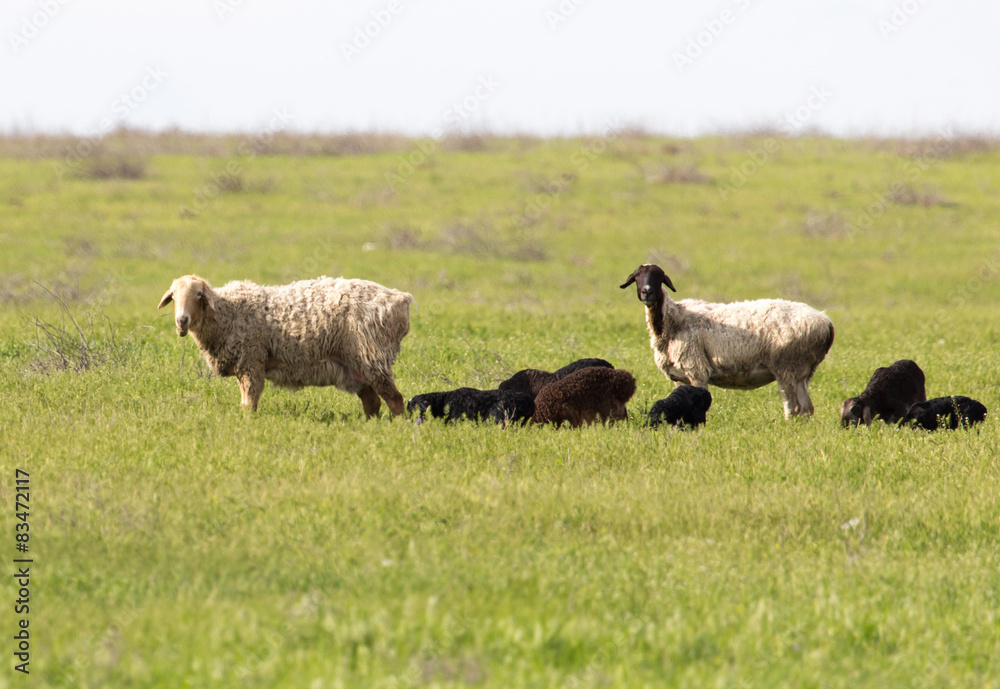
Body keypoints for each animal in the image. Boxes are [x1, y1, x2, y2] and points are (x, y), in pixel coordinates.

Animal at [157, 274, 413, 417]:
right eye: (173, 296)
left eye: (198, 294)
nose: (182, 321)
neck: (227, 311)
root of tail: (400, 299)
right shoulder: (245, 365)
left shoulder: (251, 361)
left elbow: (249, 403)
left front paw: (247, 425)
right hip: (355, 364)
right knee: (372, 401)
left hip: (371, 355)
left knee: (394, 398)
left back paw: (398, 428)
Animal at [620, 263, 834, 419]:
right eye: (637, 277)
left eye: (659, 278)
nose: (647, 292)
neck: (673, 320)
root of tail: (826, 323)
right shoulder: (679, 377)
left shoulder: (697, 369)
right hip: (802, 371)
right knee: (807, 408)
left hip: (787, 366)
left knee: (794, 408)